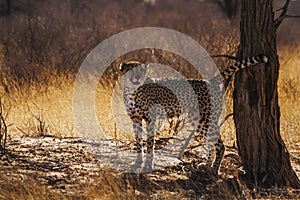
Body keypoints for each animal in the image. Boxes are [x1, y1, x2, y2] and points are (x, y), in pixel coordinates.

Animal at [118, 54, 268, 173]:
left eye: (141, 71)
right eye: (130, 70)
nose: (137, 77)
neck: (132, 90)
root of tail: (209, 81)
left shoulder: (150, 119)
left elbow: (149, 144)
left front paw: (147, 166)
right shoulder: (135, 119)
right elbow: (139, 143)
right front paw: (137, 163)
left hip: (206, 119)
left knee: (220, 145)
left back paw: (215, 169)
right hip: (199, 121)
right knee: (211, 143)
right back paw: (206, 165)